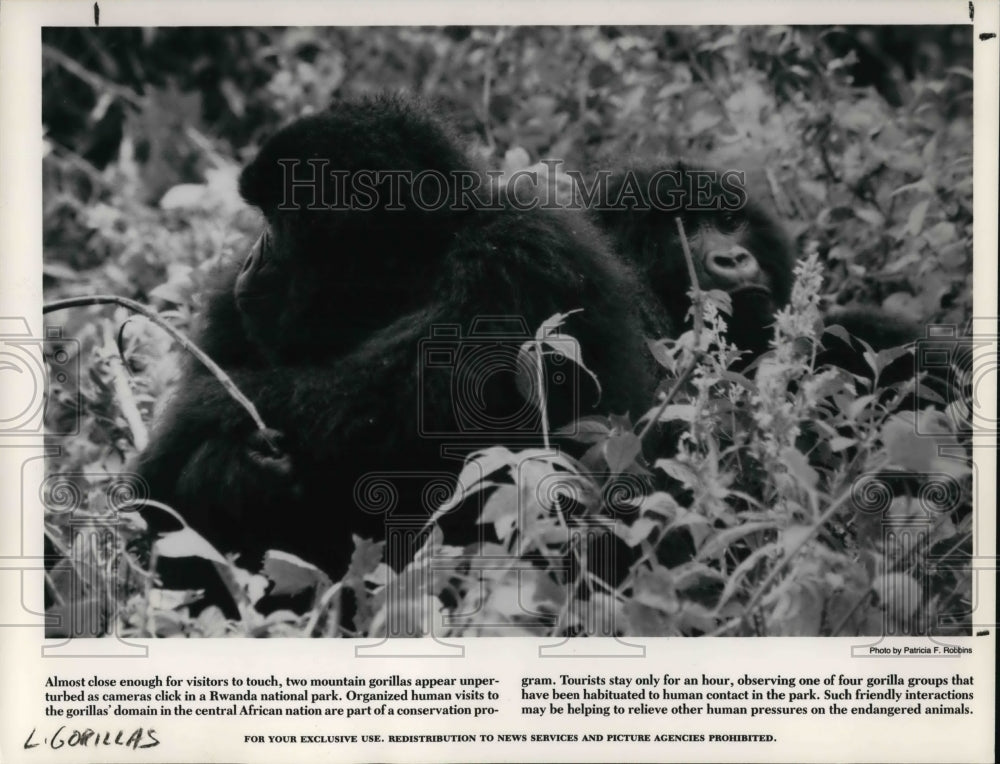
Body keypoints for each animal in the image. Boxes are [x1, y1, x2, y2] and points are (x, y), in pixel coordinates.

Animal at [133, 97, 664, 596]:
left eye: (275, 219)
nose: (249, 258)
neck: (417, 264)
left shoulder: (518, 252)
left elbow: (403, 403)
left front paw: (197, 427)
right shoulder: (230, 307)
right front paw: (224, 473)